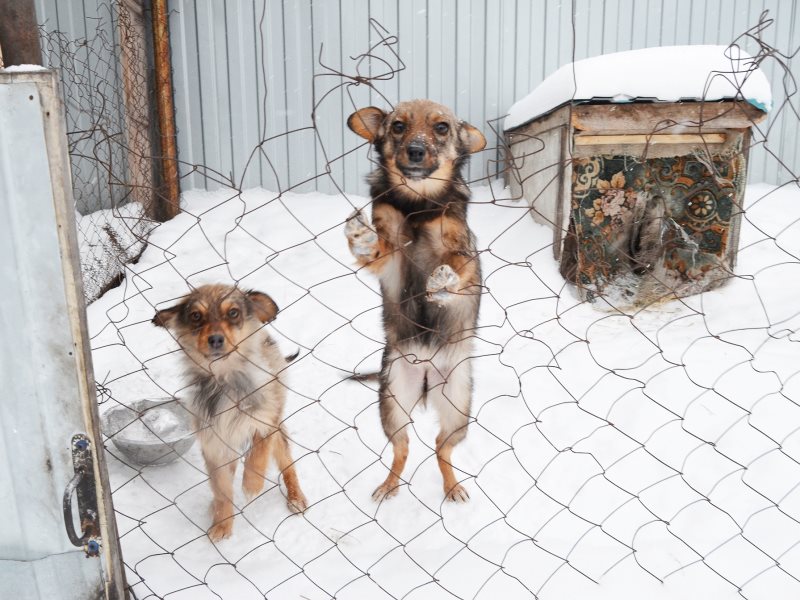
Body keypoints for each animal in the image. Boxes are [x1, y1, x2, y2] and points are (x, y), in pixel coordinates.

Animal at [152, 284, 306, 540]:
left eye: (233, 313)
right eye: (196, 316)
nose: (215, 339)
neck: (224, 380)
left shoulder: (266, 419)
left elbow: (258, 452)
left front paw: (252, 484)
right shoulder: (214, 443)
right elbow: (222, 488)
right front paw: (222, 524)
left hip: (277, 422)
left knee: (287, 462)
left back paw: (296, 497)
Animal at [342, 98, 484, 502]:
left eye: (441, 128)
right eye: (398, 126)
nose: (416, 151)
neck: (419, 203)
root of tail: (425, 379)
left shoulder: (465, 250)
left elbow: (457, 268)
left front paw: (443, 278)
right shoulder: (390, 259)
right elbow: (375, 248)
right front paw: (360, 236)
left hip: (457, 404)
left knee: (441, 447)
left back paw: (453, 488)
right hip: (392, 401)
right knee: (403, 448)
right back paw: (389, 485)